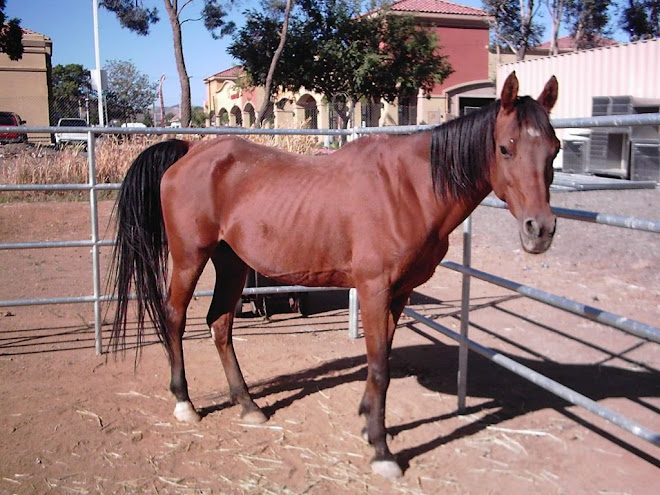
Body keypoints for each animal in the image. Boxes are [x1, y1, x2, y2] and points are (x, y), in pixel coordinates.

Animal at [108, 71, 556, 478]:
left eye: (553, 150)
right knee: (175, 318)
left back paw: (249, 406)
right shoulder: (374, 291)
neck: (410, 189)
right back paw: (185, 404)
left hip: (231, 262)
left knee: (220, 323)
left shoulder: (399, 295)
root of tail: (189, 150)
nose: (540, 230)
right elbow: (380, 367)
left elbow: (382, 362)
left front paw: (369, 424)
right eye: (505, 148)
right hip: (190, 258)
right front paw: (382, 452)